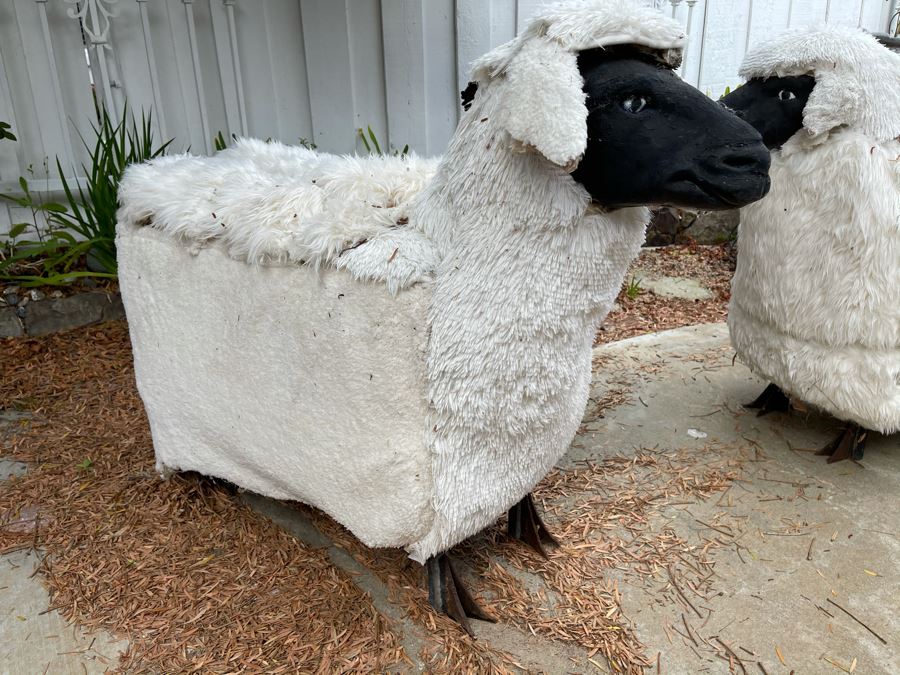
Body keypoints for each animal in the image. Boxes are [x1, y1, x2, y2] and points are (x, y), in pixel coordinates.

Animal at [117, 0, 770, 629]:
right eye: (632, 100)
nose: (755, 157)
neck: (450, 241)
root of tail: (165, 172)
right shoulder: (435, 479)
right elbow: (437, 552)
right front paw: (453, 597)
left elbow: (519, 497)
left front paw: (531, 527)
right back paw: (202, 477)